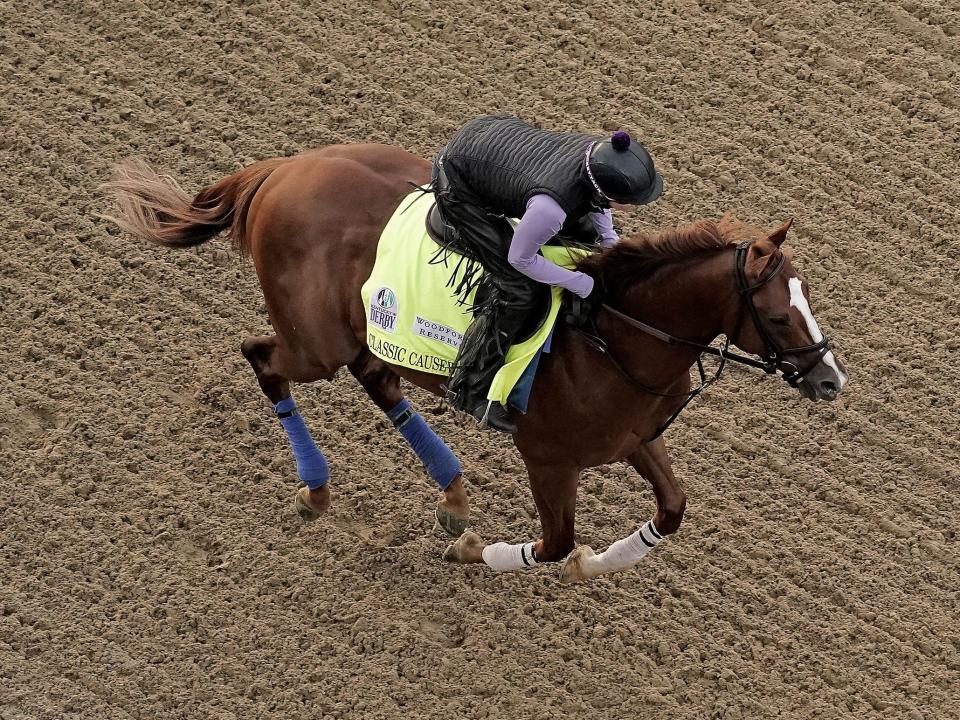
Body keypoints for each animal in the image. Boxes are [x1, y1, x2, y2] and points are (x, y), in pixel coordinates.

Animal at [105, 143, 848, 584]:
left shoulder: (633, 437)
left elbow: (671, 510)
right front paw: (476, 553)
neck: (613, 334)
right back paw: (317, 489)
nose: (830, 379)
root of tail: (280, 170)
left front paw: (593, 563)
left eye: (808, 295)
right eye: (777, 315)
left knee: (378, 379)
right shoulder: (548, 456)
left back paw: (453, 495)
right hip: (316, 342)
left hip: (357, 333)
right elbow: (552, 543)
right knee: (264, 359)